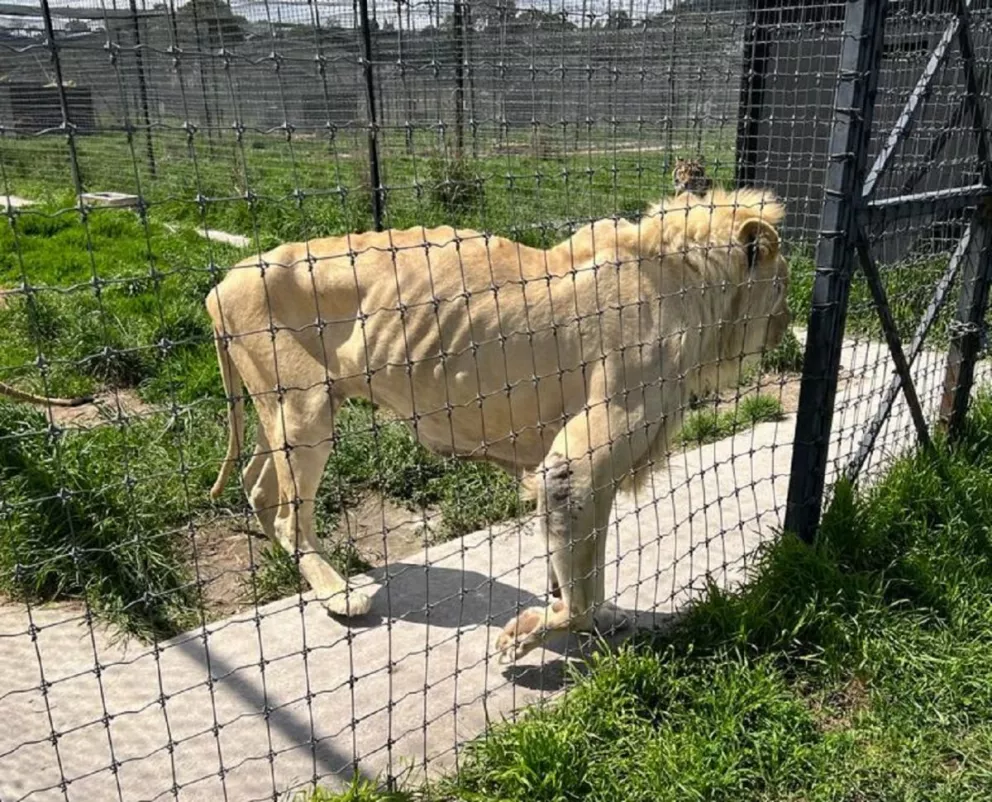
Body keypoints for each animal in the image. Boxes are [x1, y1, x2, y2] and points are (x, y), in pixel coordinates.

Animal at [205, 186, 788, 656]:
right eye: (782, 285)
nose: (785, 325)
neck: (691, 287)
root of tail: (222, 282)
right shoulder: (576, 466)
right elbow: (579, 587)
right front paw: (532, 634)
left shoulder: (578, 477)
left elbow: (584, 563)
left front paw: (598, 613)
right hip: (304, 413)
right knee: (289, 513)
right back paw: (337, 592)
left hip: (281, 412)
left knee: (258, 487)